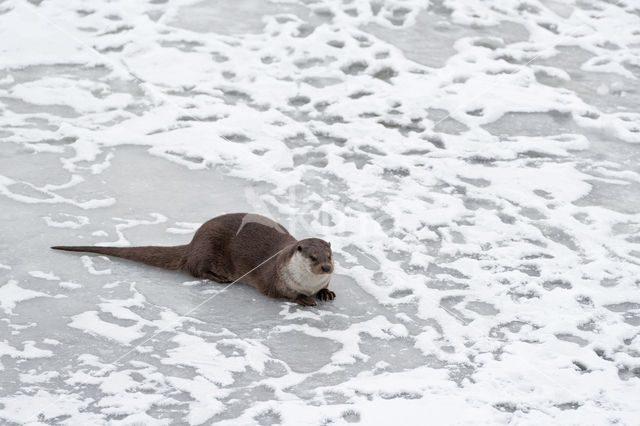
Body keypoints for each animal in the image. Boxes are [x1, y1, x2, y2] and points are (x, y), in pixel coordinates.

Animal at [51, 213, 336, 306]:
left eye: (330, 255)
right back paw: (219, 279)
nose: (326, 267)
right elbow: (281, 293)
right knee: (194, 269)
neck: (306, 282)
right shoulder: (271, 280)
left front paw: (326, 293)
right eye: (313, 257)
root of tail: (193, 242)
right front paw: (304, 299)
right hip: (208, 247)